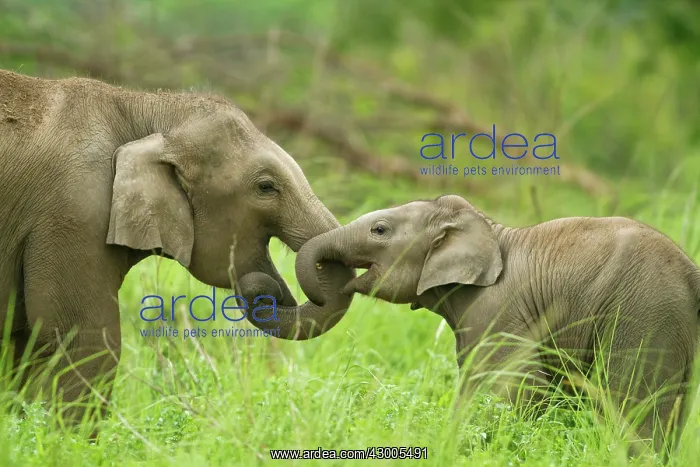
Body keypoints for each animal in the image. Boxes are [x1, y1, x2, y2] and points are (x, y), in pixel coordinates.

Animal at [0, 69, 355, 432]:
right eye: (266, 187)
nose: (264, 289)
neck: (140, 107)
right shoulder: (75, 215)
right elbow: (88, 341)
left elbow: (25, 346)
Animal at [293, 193, 700, 457]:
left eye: (379, 230)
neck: (488, 229)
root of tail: (691, 272)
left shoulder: (495, 310)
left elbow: (512, 385)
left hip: (643, 315)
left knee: (633, 405)